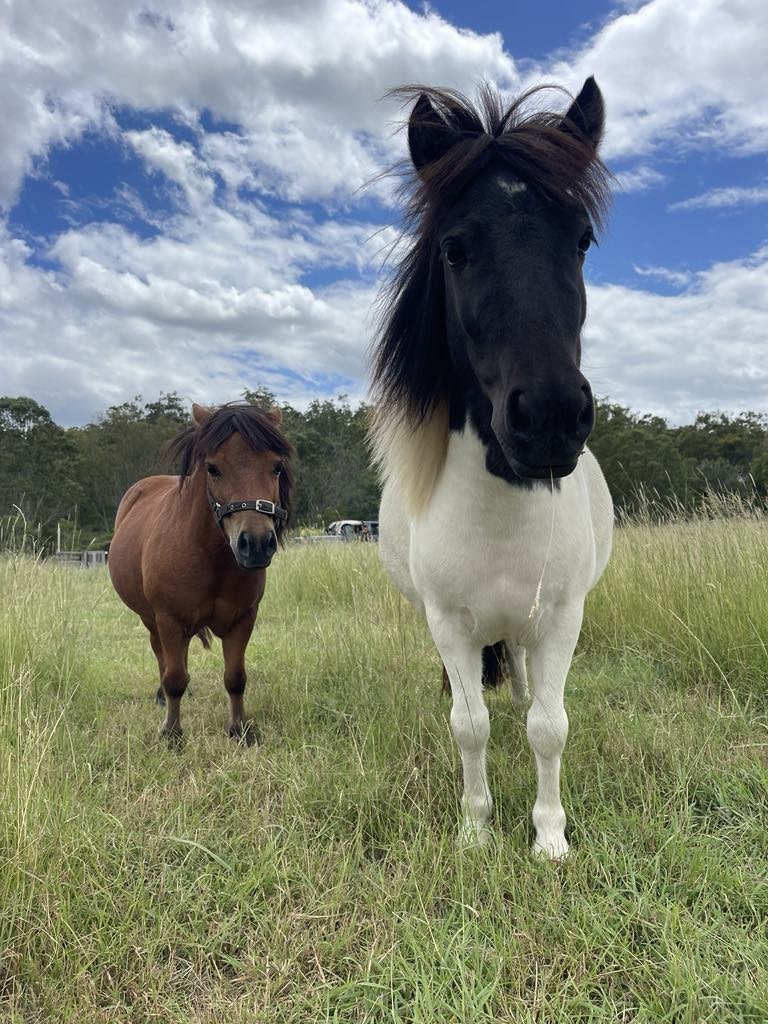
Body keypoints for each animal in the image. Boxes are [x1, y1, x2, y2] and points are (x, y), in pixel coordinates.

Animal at [108, 402, 293, 744]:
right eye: (212, 468)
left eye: (276, 467)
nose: (256, 544)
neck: (210, 557)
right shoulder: (169, 619)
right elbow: (174, 679)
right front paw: (172, 734)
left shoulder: (242, 620)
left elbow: (235, 678)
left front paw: (240, 729)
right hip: (151, 619)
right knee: (162, 656)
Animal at [371, 78, 614, 859]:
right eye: (454, 249)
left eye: (581, 241)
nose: (550, 416)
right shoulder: (449, 624)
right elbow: (468, 726)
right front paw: (475, 832)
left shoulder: (560, 619)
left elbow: (549, 727)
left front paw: (549, 839)